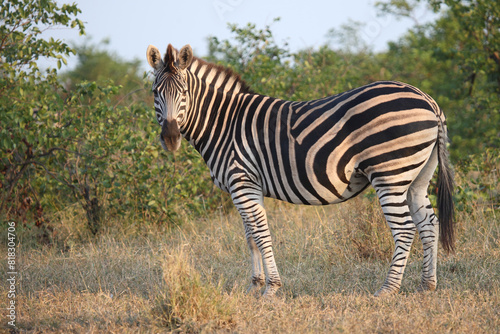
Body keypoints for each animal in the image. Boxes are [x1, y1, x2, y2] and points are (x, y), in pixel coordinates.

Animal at [146, 43, 456, 296]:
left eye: (184, 93)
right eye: (155, 93)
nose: (170, 138)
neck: (224, 123)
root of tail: (428, 100)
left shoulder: (242, 181)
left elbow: (261, 234)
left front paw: (271, 289)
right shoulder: (246, 187)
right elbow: (250, 237)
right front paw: (254, 286)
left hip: (390, 175)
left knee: (405, 229)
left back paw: (388, 289)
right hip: (417, 177)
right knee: (428, 222)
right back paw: (427, 285)